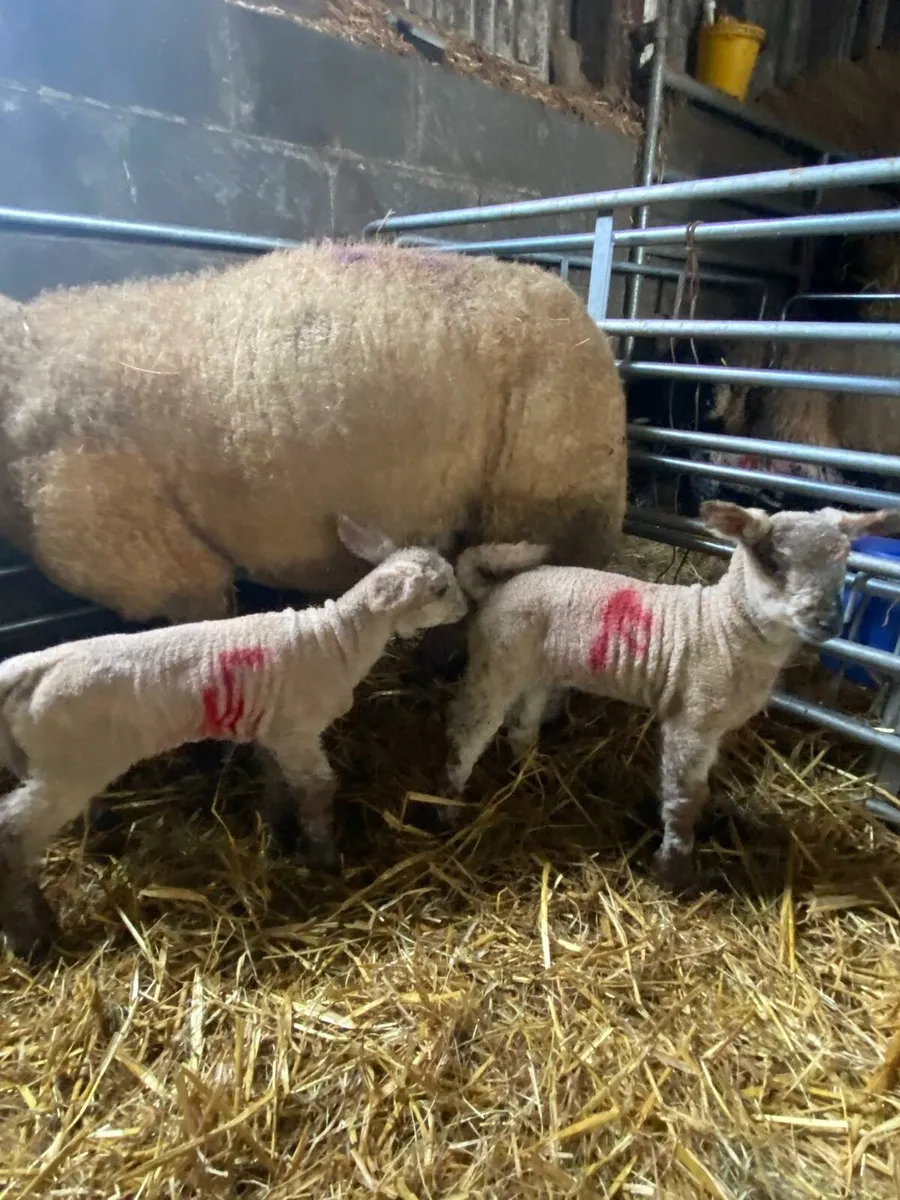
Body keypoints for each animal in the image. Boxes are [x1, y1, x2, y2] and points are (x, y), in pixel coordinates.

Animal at [0, 516, 467, 960]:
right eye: (440, 589)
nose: (466, 608)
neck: (336, 639)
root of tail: (28, 669)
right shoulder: (298, 732)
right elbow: (318, 790)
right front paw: (324, 858)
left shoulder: (274, 731)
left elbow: (279, 785)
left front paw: (278, 834)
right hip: (70, 769)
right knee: (12, 833)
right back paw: (33, 935)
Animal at [440, 503, 900, 889]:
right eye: (772, 562)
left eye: (842, 562)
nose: (828, 623)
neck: (724, 626)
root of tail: (495, 591)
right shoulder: (691, 721)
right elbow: (683, 799)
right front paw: (672, 867)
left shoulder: (708, 727)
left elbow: (692, 792)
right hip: (496, 664)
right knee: (466, 735)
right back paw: (447, 805)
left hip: (536, 672)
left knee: (522, 727)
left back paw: (534, 776)